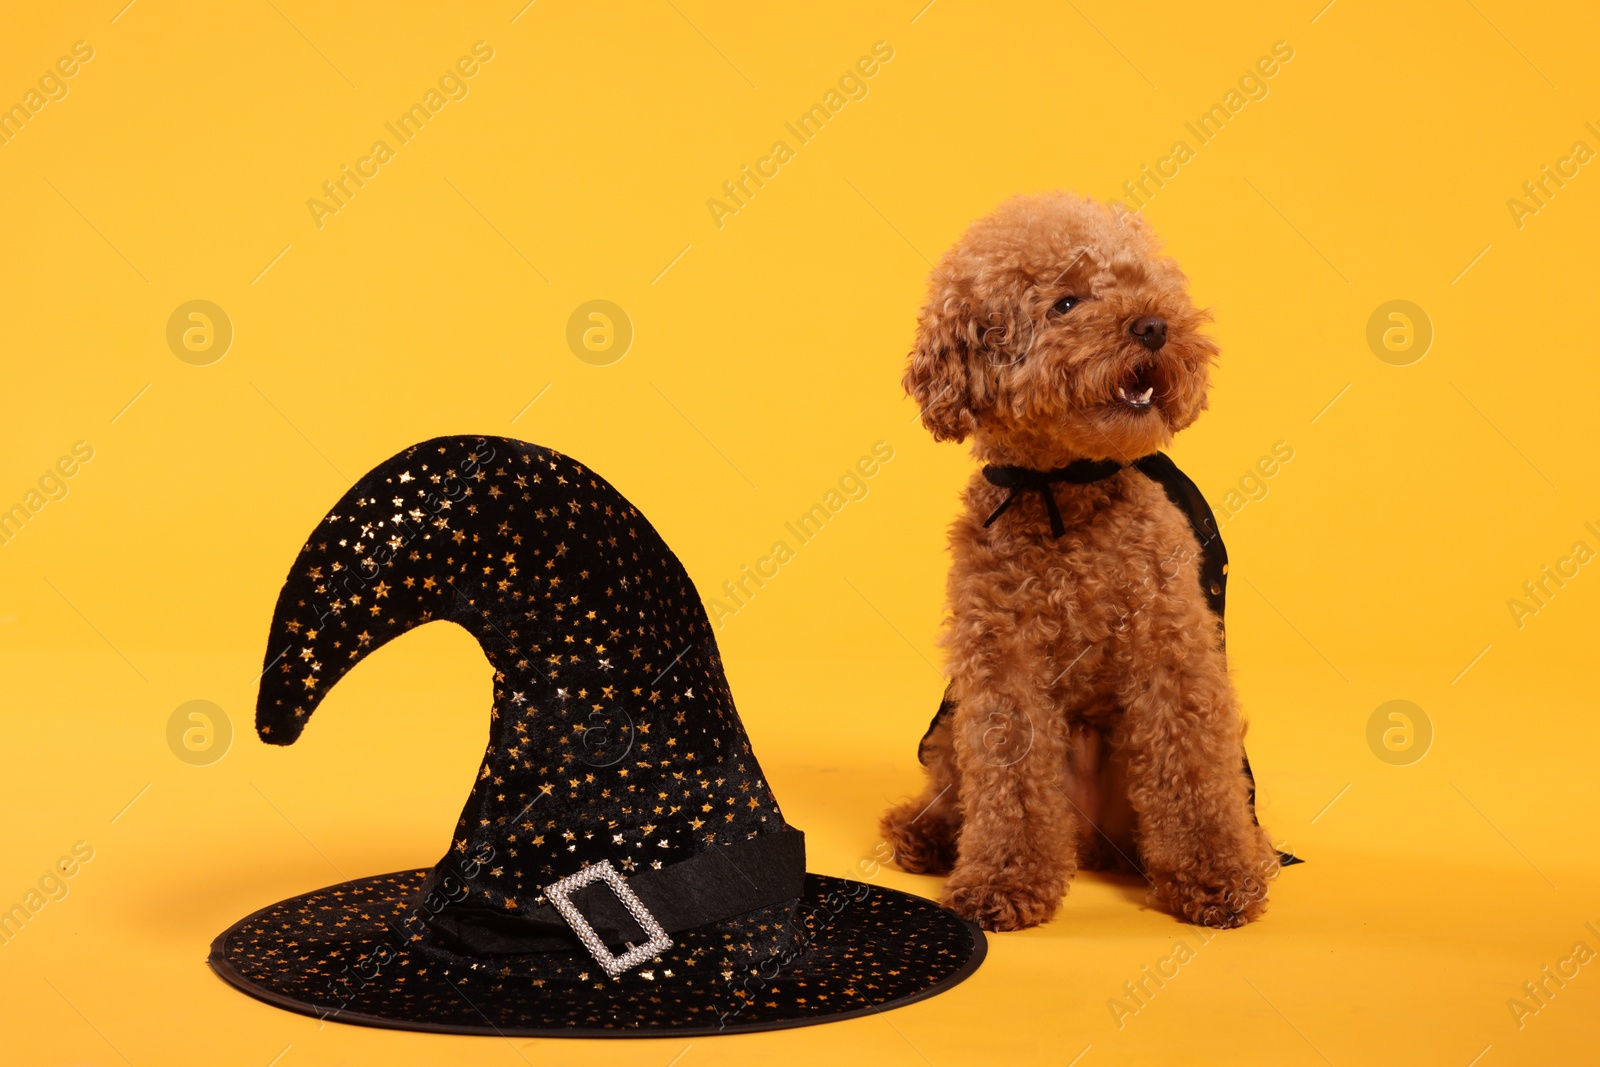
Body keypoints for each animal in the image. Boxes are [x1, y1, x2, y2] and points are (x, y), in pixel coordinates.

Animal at [883, 194, 1280, 934]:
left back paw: (1257, 852)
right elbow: (1009, 785)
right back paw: (927, 833)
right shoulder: (999, 666)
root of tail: (1094, 844)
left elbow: (1195, 768)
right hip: (955, 724)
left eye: (1141, 285)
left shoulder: (1172, 650)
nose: (1154, 326)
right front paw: (1002, 880)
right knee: (956, 785)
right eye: (1065, 303)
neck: (1062, 486)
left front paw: (1217, 876)